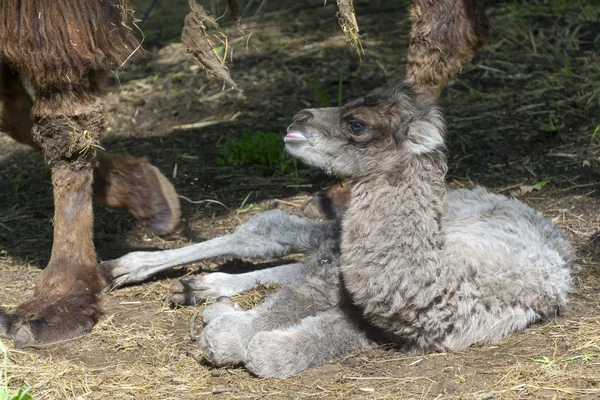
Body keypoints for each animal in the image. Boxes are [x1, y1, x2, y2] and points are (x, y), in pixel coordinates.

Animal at [101, 80, 576, 378]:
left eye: (357, 123)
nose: (299, 117)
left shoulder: (394, 330)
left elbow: (296, 341)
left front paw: (229, 327)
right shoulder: (342, 280)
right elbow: (287, 302)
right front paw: (223, 326)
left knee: (287, 253)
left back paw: (198, 287)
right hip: (339, 234)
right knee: (274, 233)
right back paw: (128, 268)